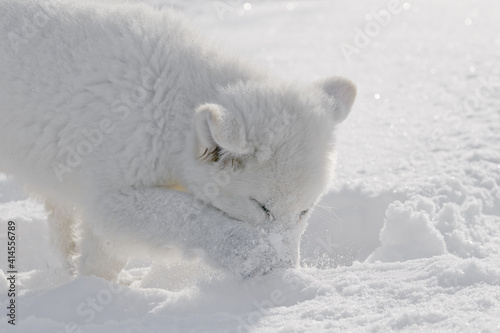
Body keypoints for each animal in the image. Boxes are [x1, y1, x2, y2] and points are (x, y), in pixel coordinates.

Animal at [0, 0, 356, 280]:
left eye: (305, 211)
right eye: (262, 207)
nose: (285, 273)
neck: (168, 106)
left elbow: (105, 254)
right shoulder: (111, 196)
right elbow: (188, 215)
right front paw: (252, 255)